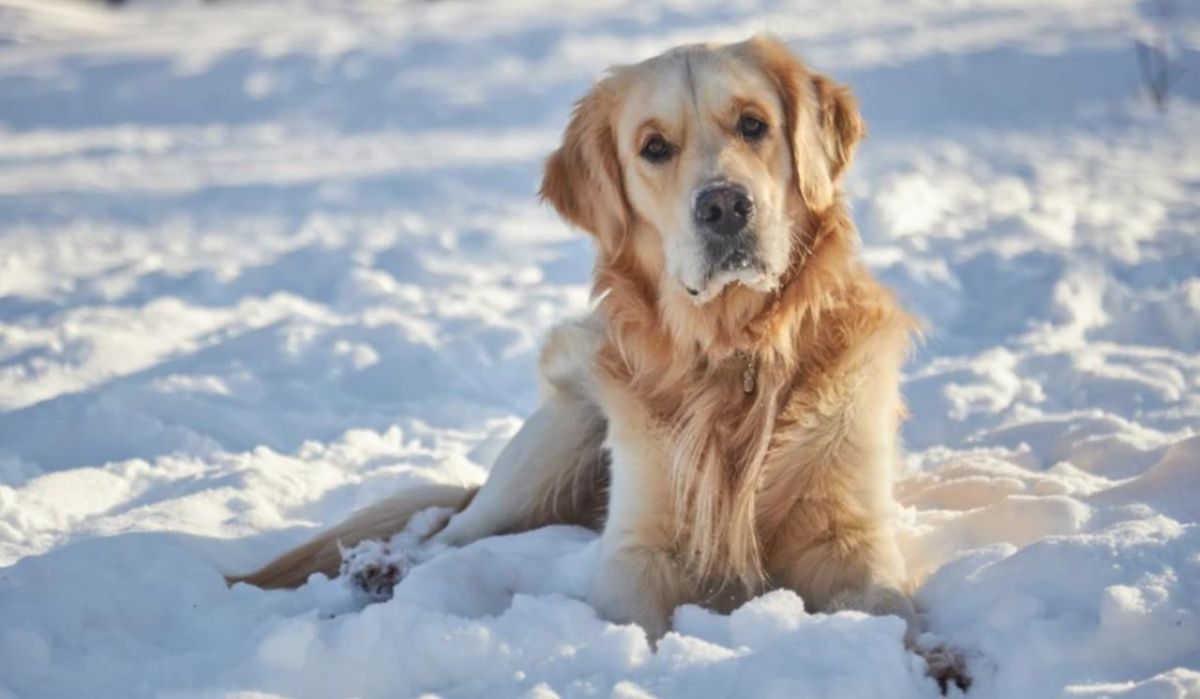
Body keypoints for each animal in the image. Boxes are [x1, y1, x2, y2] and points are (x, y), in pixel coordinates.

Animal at [229, 36, 969, 696]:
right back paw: (381, 568)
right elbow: (636, 622)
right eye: (654, 147)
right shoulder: (637, 546)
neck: (733, 355)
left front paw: (936, 660)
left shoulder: (850, 535)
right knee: (447, 533)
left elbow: (888, 607)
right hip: (552, 448)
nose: (725, 206)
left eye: (753, 124)